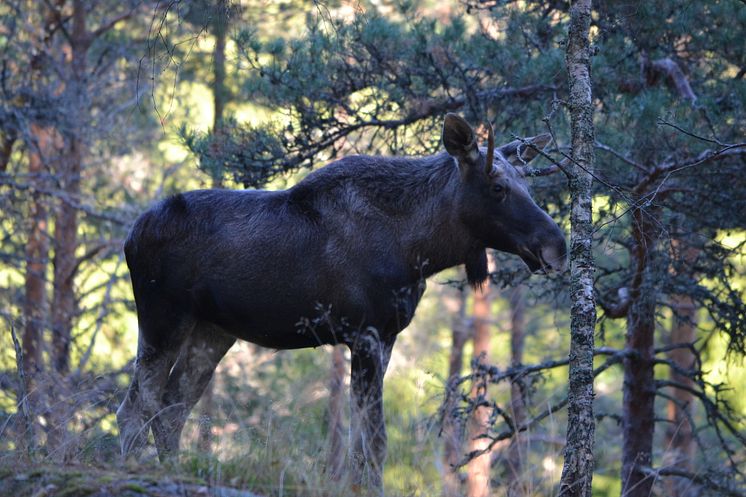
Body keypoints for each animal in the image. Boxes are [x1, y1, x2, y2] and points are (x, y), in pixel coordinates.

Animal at [116, 113, 564, 492]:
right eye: (497, 188)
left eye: (529, 185)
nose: (556, 245)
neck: (420, 248)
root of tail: (131, 236)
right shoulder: (363, 334)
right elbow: (375, 442)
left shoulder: (385, 337)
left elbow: (361, 443)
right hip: (162, 319)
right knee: (136, 408)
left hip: (211, 331)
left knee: (170, 410)